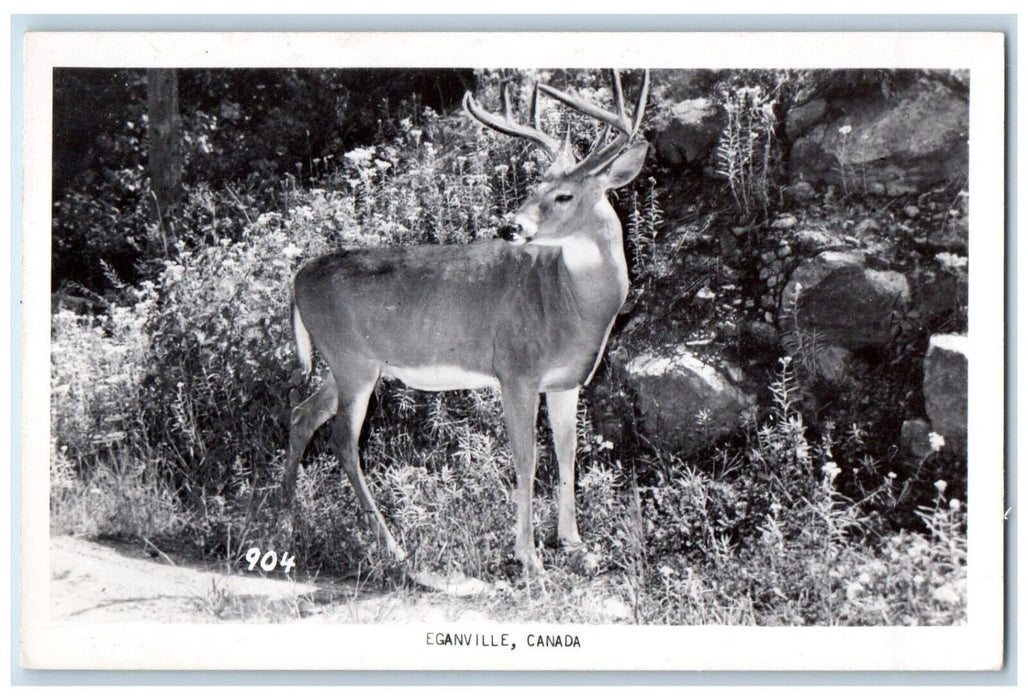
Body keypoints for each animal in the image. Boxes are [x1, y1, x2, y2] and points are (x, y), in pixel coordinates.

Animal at [281, 69, 650, 576]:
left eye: (563, 195)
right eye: (531, 188)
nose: (510, 227)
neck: (570, 303)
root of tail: (297, 278)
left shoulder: (567, 381)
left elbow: (567, 452)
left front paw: (574, 544)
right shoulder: (515, 370)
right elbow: (526, 457)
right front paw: (529, 556)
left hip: (347, 365)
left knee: (302, 415)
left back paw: (283, 521)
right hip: (352, 361)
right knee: (343, 441)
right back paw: (393, 547)